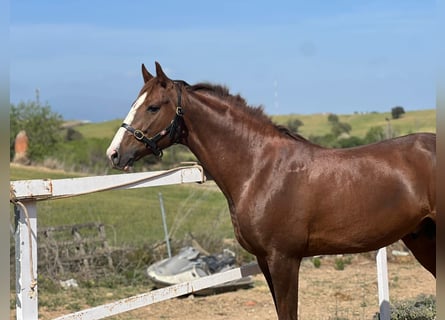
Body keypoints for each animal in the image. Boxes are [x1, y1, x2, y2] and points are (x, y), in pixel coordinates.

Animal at [106, 61, 434, 318]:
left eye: (152, 107)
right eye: (134, 104)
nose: (114, 154)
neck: (260, 170)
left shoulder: (284, 259)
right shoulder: (265, 261)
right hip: (421, 238)